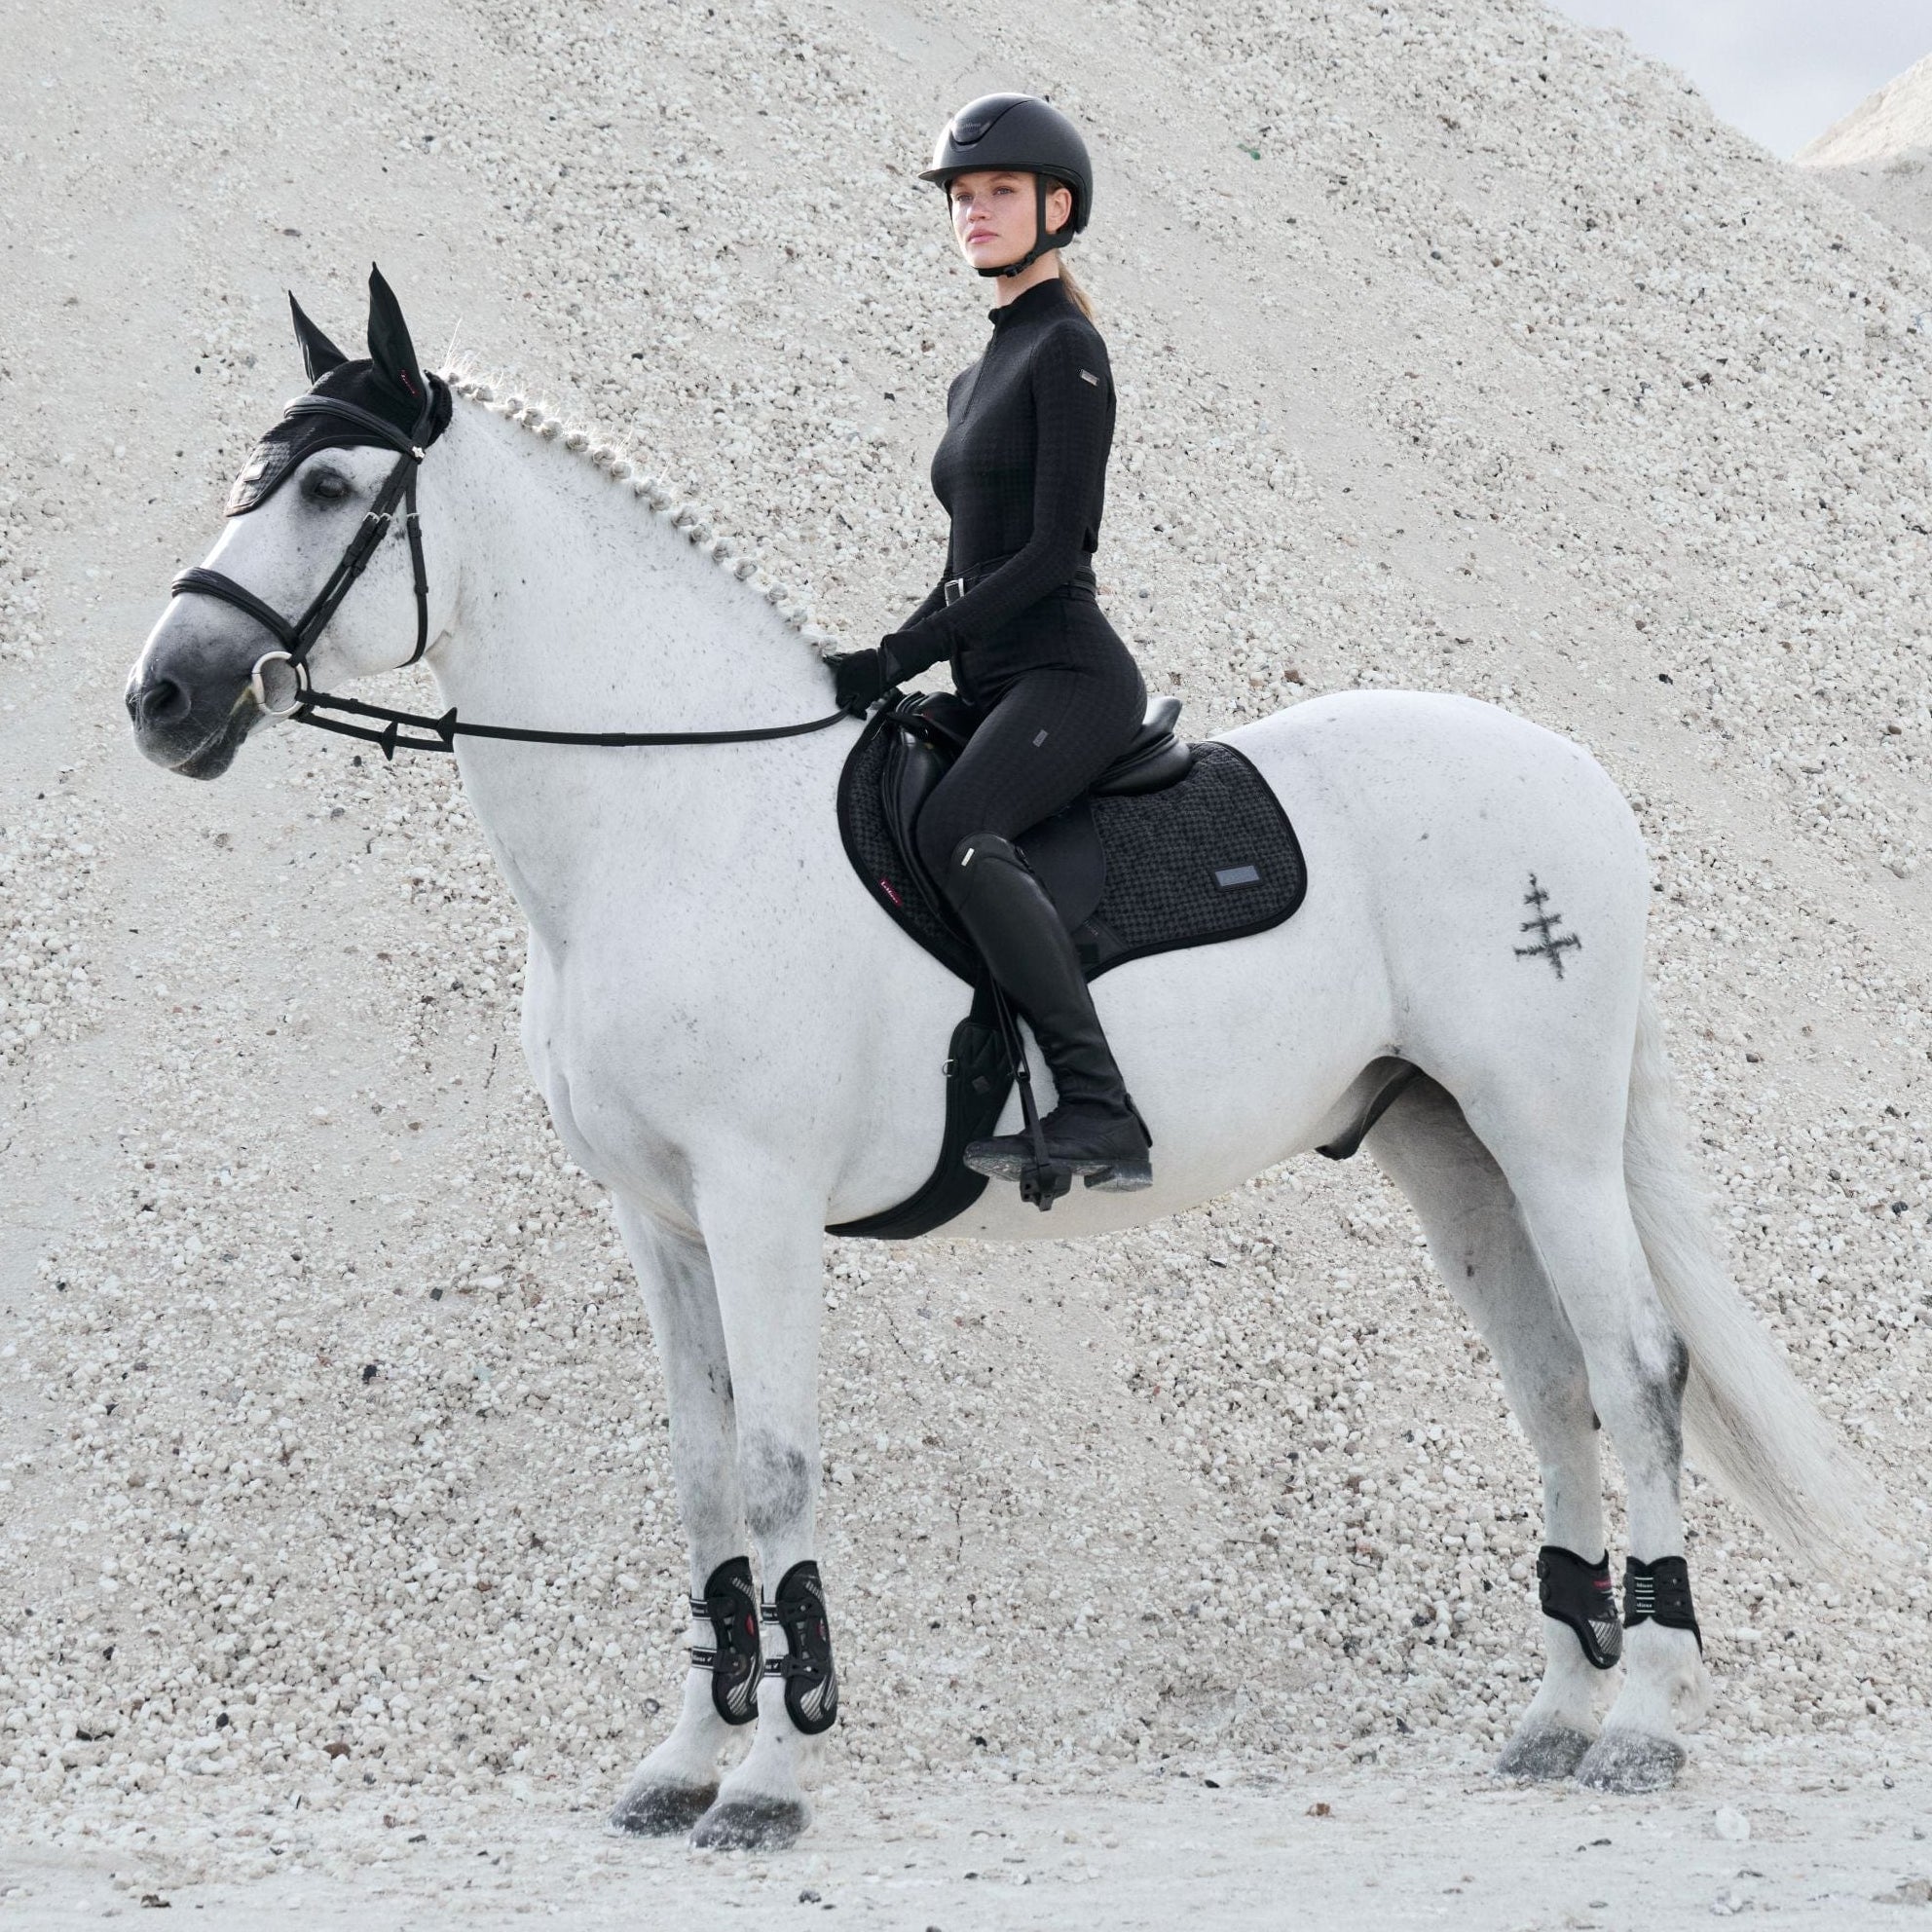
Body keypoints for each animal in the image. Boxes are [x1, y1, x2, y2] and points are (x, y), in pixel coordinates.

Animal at [125, 271, 1882, 1850]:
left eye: (328, 485)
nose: (164, 696)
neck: (670, 817)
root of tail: (1571, 773)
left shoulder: (758, 1204)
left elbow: (775, 1470)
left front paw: (770, 1785)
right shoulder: (659, 1219)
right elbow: (700, 1480)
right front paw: (680, 1764)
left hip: (1550, 1130)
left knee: (1634, 1373)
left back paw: (1641, 1728)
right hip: (1445, 1145)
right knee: (1548, 1390)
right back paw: (1553, 1717)